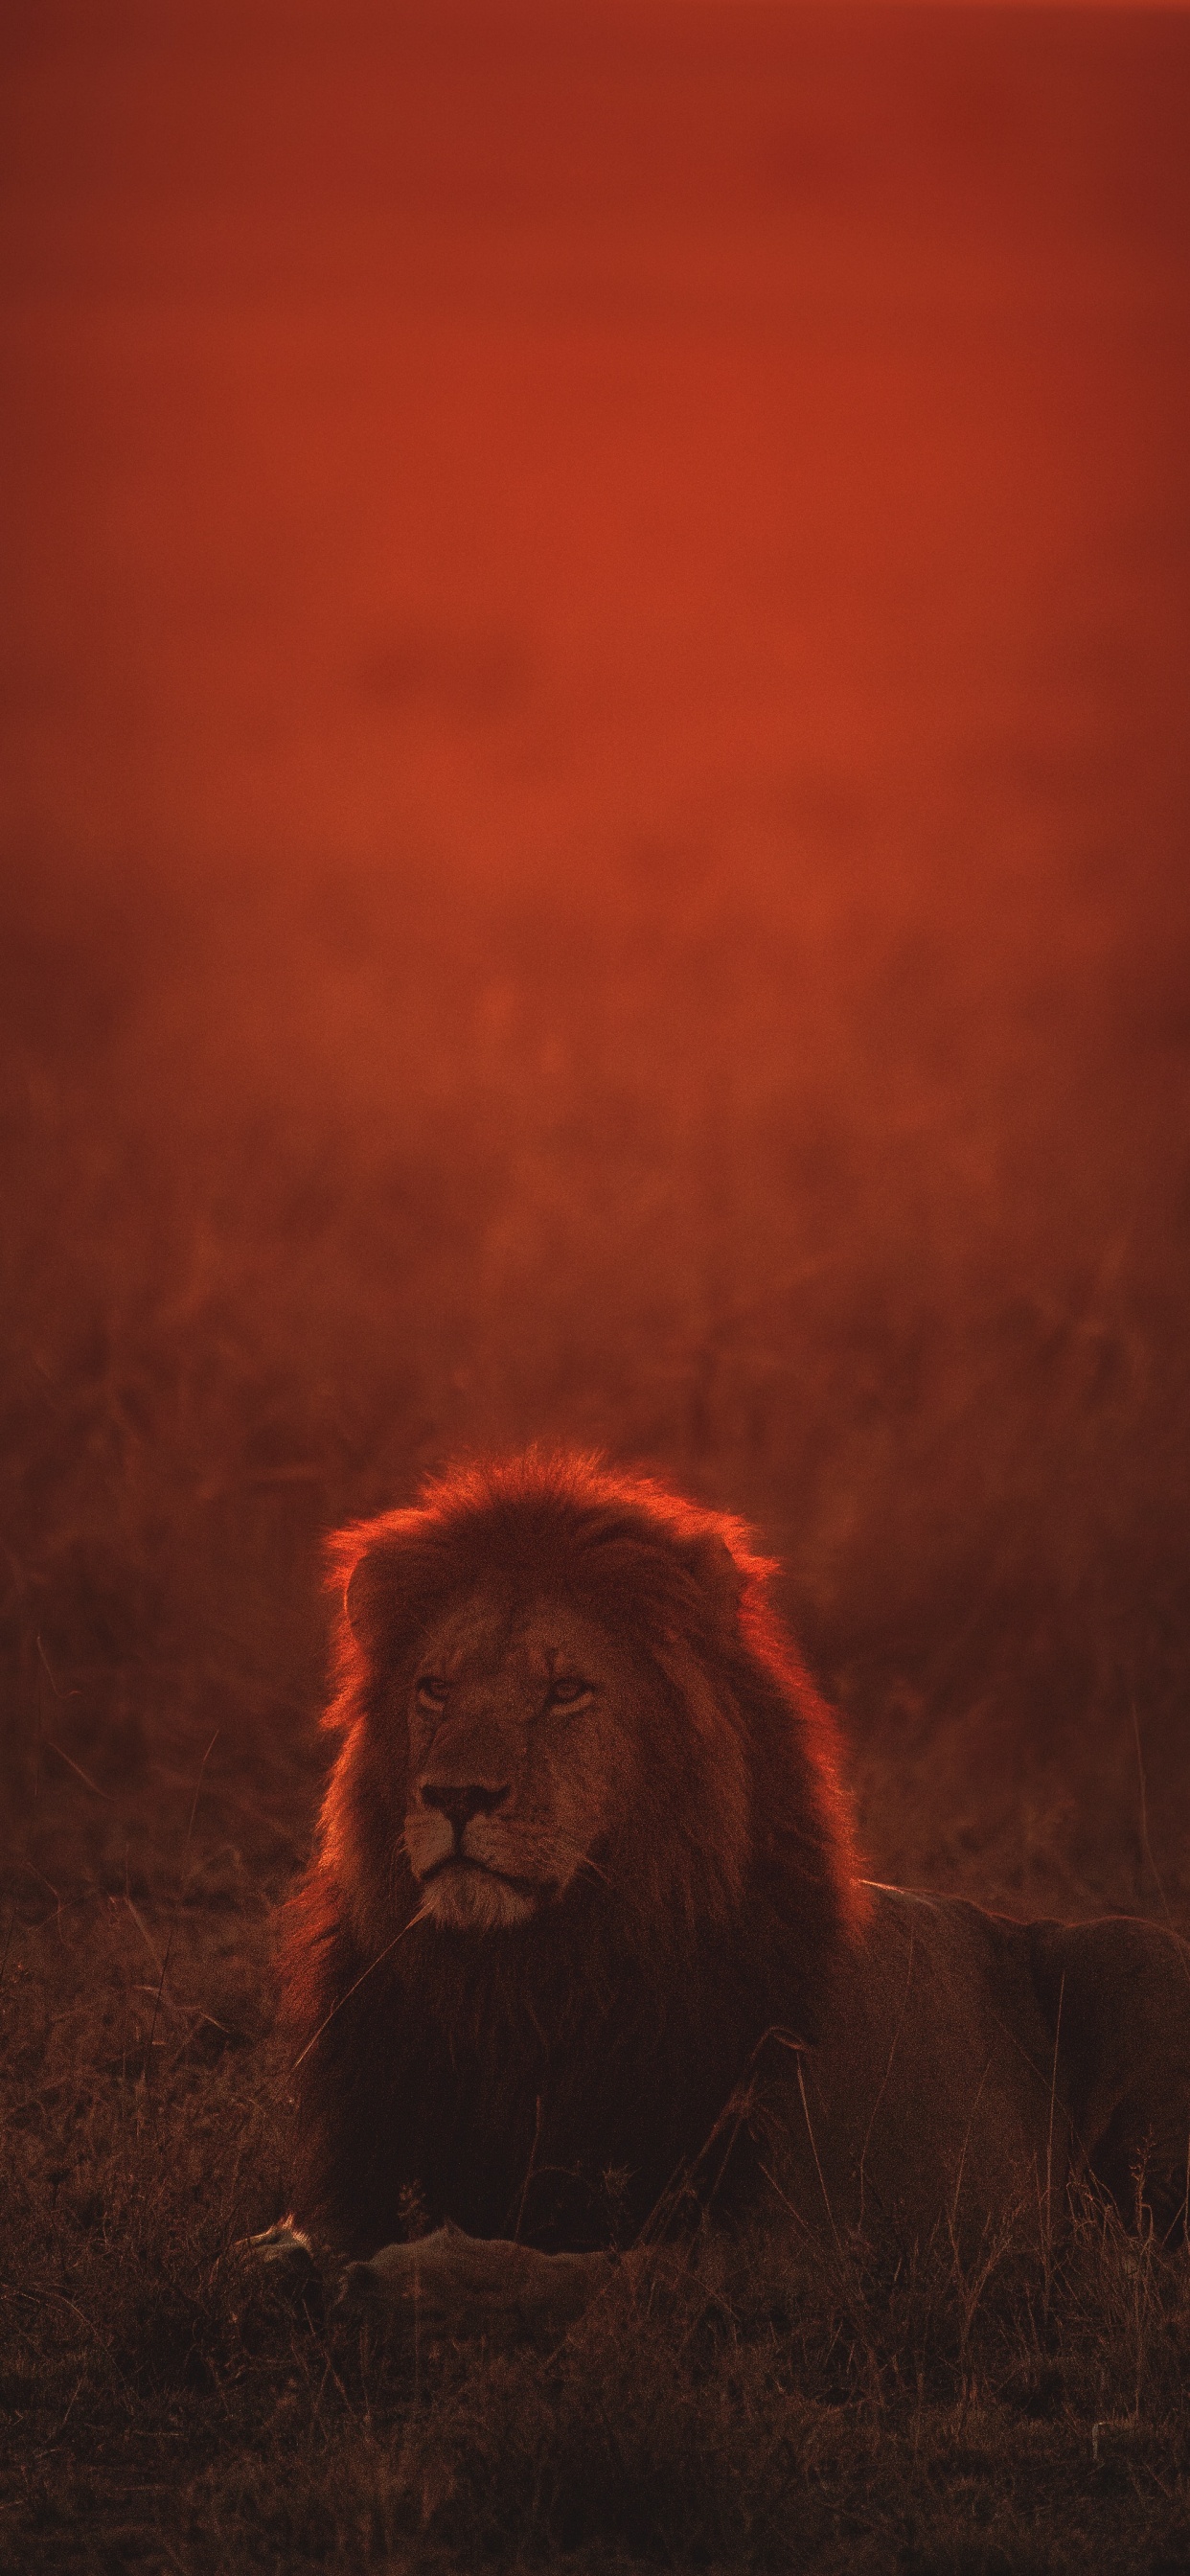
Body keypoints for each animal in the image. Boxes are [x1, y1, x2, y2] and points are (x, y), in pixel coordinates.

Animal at [271, 1450, 1190, 2326]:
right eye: (436, 1689)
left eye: (566, 1692)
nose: (456, 1796)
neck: (525, 1986)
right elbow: (281, 2249)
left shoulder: (816, 2248)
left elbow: (609, 2277)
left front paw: (418, 2276)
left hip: (1134, 1956)